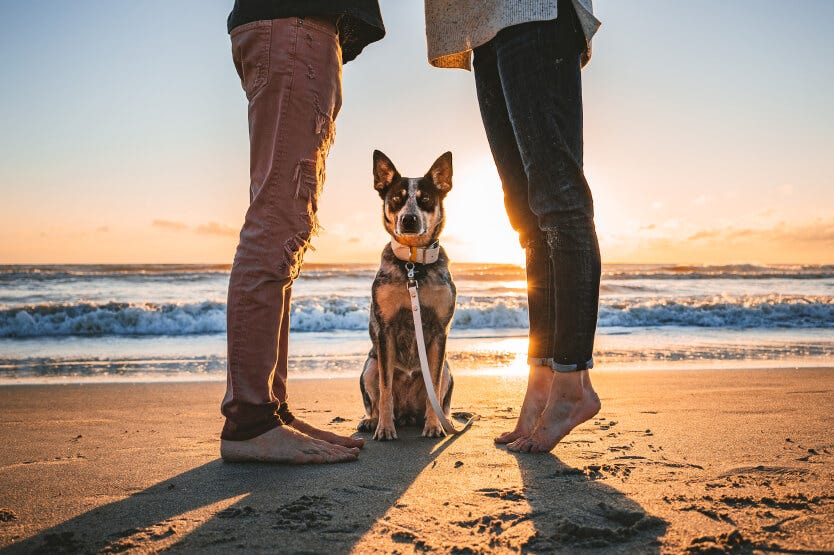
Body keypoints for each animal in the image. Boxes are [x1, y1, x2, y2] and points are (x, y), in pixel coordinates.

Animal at [360, 150, 458, 440]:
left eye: (425, 199)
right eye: (396, 198)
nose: (409, 219)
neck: (413, 264)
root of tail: (408, 415)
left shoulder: (439, 330)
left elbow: (433, 386)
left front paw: (434, 425)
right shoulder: (385, 330)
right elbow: (385, 390)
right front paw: (384, 428)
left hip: (448, 369)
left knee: (441, 398)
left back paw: (444, 419)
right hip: (369, 366)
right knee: (376, 398)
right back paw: (373, 420)